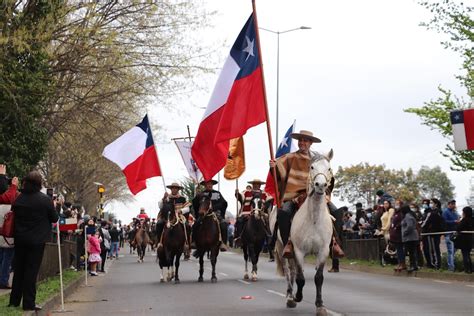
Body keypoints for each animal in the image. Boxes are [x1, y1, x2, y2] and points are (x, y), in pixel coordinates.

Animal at [270, 149, 334, 314]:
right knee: (288, 271)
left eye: (329, 168)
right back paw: (290, 297)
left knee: (293, 271)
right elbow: (300, 278)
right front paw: (297, 297)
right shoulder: (298, 251)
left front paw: (320, 305)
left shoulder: (323, 251)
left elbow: (318, 278)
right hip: (281, 247)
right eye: (312, 167)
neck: (313, 219)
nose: (320, 185)